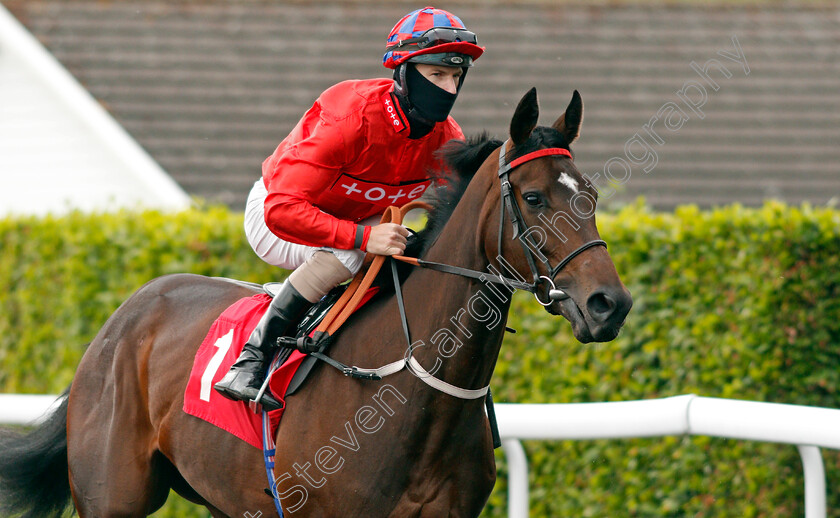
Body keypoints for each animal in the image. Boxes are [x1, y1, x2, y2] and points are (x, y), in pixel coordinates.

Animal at [0, 87, 632, 516]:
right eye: (534, 197)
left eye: (593, 195)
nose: (610, 304)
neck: (414, 392)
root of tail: (121, 318)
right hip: (113, 495)